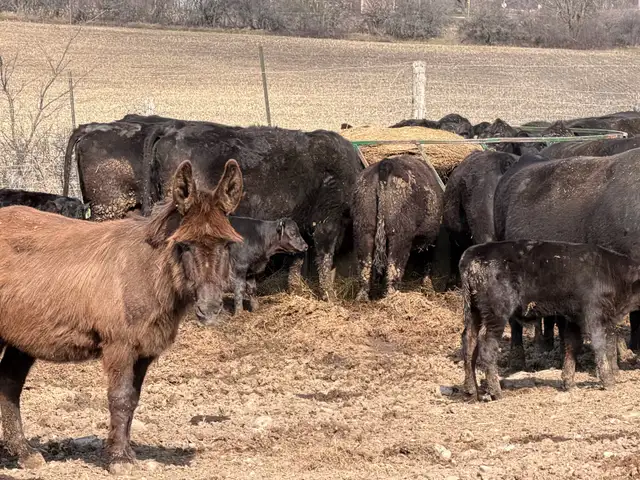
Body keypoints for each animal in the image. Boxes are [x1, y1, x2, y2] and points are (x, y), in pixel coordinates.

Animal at [0, 159, 243, 473]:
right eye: (184, 245)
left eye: (226, 244)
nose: (210, 310)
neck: (148, 271)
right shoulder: (119, 346)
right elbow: (119, 398)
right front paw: (118, 459)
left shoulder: (143, 352)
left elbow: (132, 400)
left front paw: (126, 452)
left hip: (23, 338)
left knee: (8, 384)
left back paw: (24, 453)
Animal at [141, 118, 362, 301]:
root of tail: (173, 128)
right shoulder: (327, 221)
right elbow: (324, 257)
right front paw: (330, 298)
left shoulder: (299, 225)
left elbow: (297, 258)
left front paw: (297, 291)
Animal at [352, 155, 443, 301]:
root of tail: (386, 164)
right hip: (399, 236)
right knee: (394, 268)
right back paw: (393, 297)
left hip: (363, 231)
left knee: (365, 266)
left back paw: (363, 298)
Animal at [460, 240, 639, 401]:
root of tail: (473, 252)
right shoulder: (593, 314)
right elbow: (600, 345)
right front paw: (608, 381)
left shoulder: (574, 317)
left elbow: (573, 345)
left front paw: (568, 382)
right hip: (496, 312)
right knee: (487, 345)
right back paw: (496, 392)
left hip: (474, 311)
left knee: (469, 342)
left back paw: (471, 391)